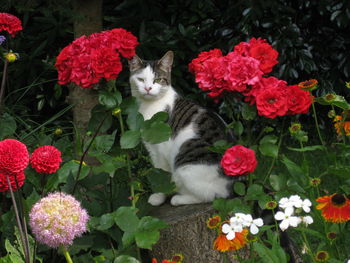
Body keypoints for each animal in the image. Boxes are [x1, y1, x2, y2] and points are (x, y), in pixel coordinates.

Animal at [127, 51, 234, 207]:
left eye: (158, 80)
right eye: (141, 79)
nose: (148, 88)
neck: (149, 106)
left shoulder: (160, 150)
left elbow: (161, 174)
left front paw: (158, 197)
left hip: (185, 167)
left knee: (211, 196)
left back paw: (179, 199)